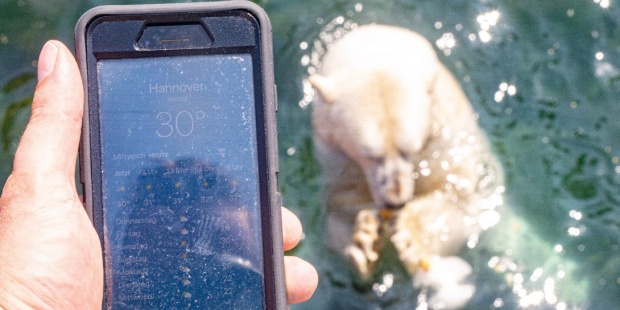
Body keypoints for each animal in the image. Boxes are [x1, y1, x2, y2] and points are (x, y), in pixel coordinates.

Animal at [310, 24, 504, 308]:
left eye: (410, 149)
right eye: (370, 154)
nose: (395, 202)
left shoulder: (444, 140)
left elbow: (458, 201)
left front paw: (411, 234)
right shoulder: (337, 160)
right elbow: (341, 207)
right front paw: (365, 240)